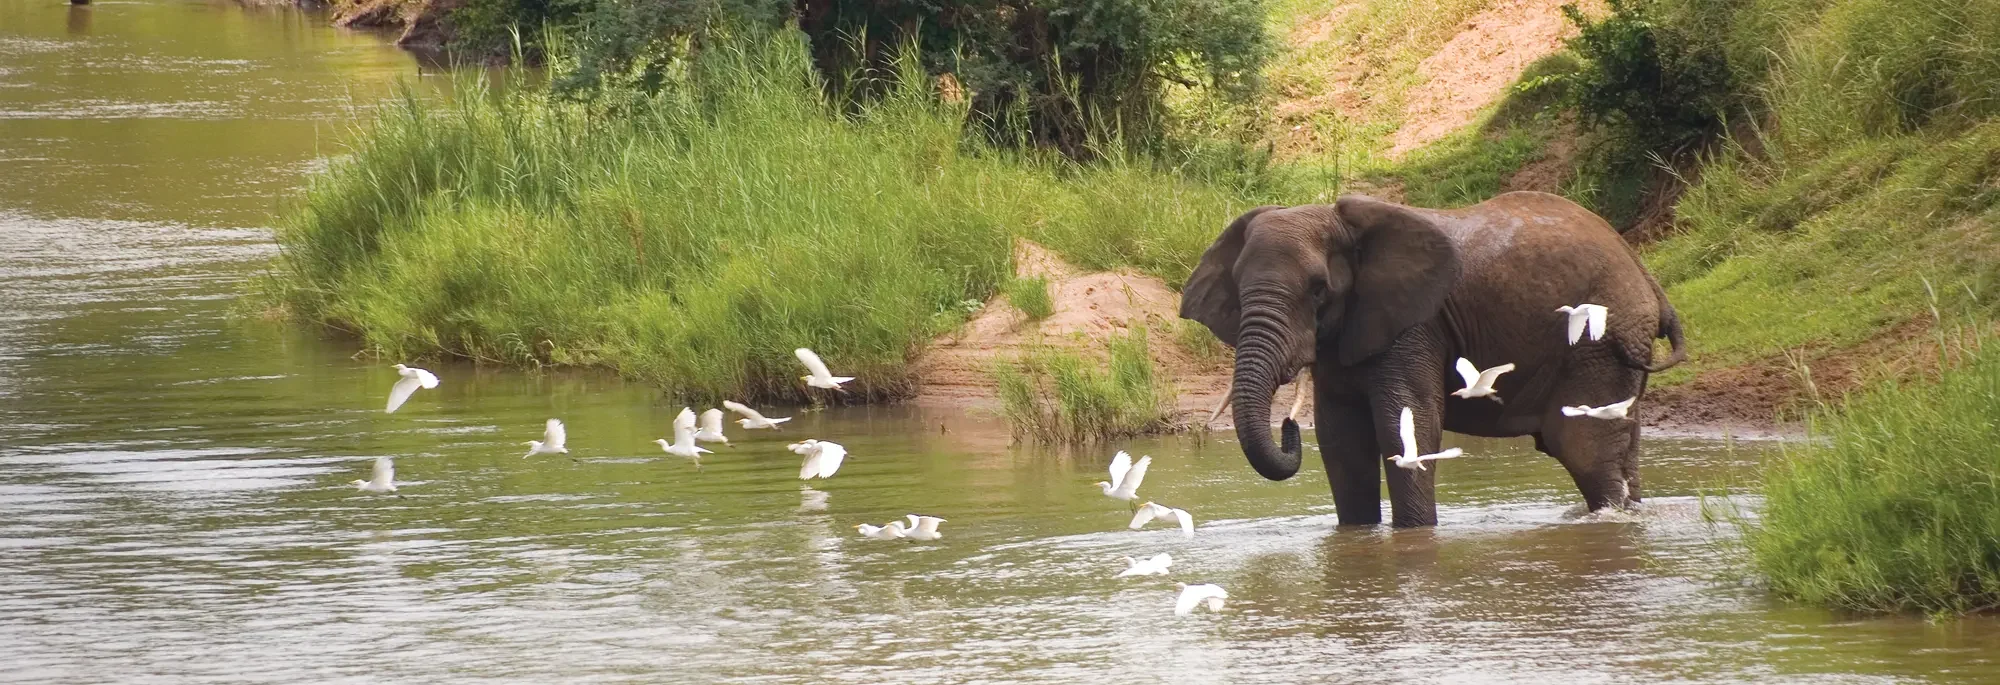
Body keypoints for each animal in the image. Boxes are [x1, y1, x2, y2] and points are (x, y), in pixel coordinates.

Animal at [1178, 191, 1686, 527]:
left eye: (1319, 289)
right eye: (1238, 291)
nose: (1285, 426)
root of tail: (1646, 275)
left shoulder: (1415, 325)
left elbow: (1406, 424)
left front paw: (1415, 537)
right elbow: (1340, 439)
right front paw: (1357, 536)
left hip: (1601, 344)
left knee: (1585, 449)